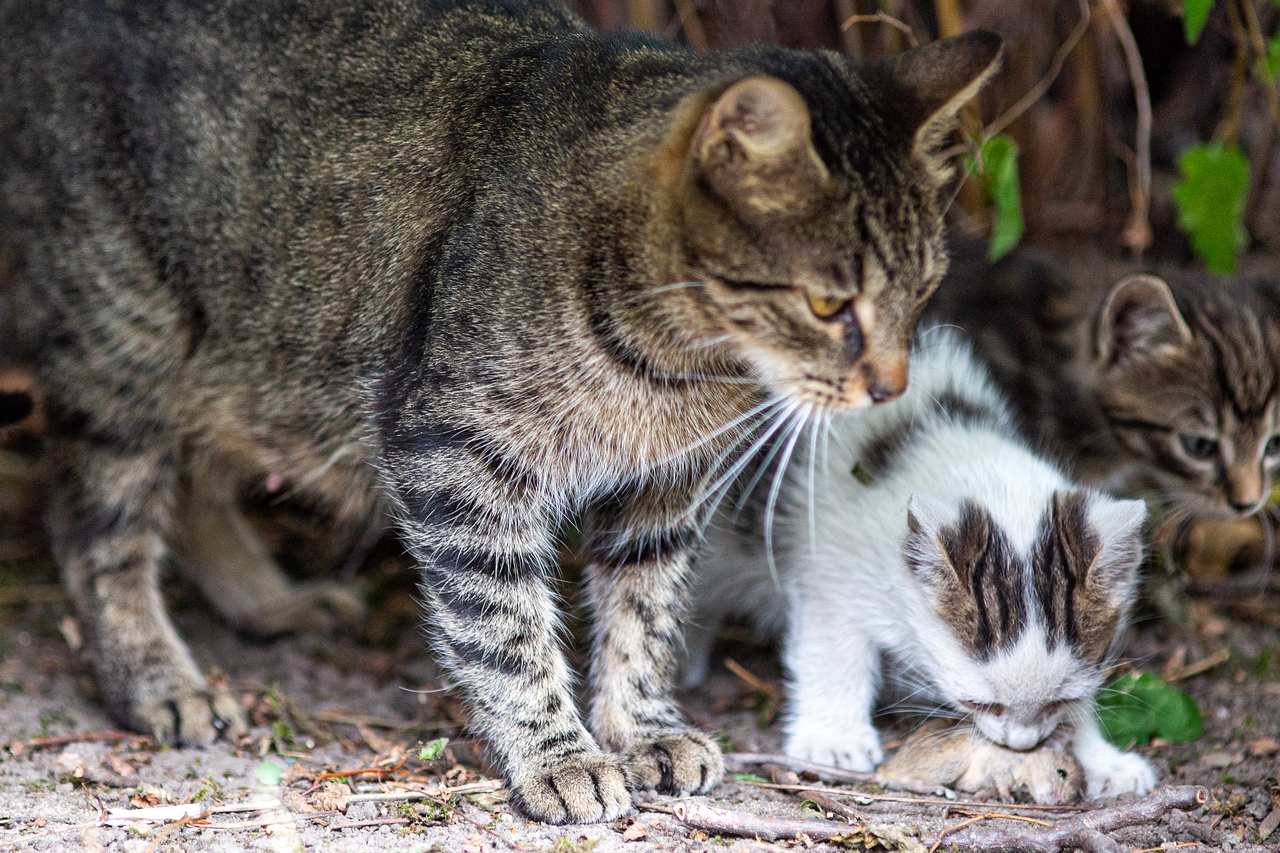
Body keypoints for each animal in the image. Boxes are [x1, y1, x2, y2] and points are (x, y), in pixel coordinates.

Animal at [0, 0, 998, 824]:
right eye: (830, 306)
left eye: (922, 292)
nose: (890, 384)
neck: (683, 373)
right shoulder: (455, 456)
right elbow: (505, 624)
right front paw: (559, 756)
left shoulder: (669, 486)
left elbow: (646, 609)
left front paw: (641, 729)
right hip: (129, 337)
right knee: (93, 528)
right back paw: (159, 678)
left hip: (252, 355)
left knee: (199, 480)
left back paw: (268, 602)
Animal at [691, 326, 1162, 799]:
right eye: (980, 702)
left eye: (1059, 701)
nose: (1022, 743)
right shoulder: (832, 572)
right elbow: (833, 652)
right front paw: (834, 739)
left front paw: (1102, 759)